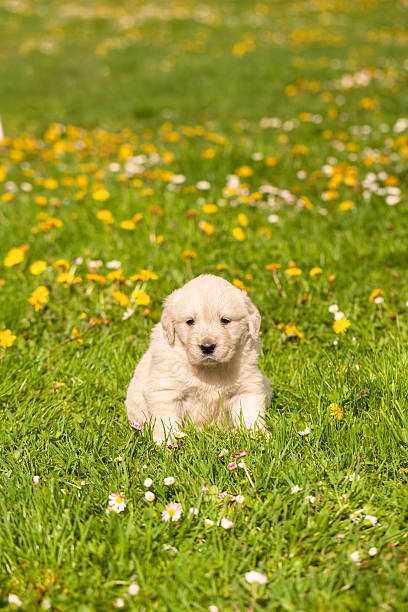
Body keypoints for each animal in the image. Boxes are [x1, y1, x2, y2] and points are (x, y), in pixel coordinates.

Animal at [125, 274, 270, 442]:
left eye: (225, 320)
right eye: (190, 321)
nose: (207, 347)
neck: (209, 370)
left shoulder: (247, 389)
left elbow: (251, 416)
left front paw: (259, 437)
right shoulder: (166, 391)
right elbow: (166, 421)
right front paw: (167, 443)